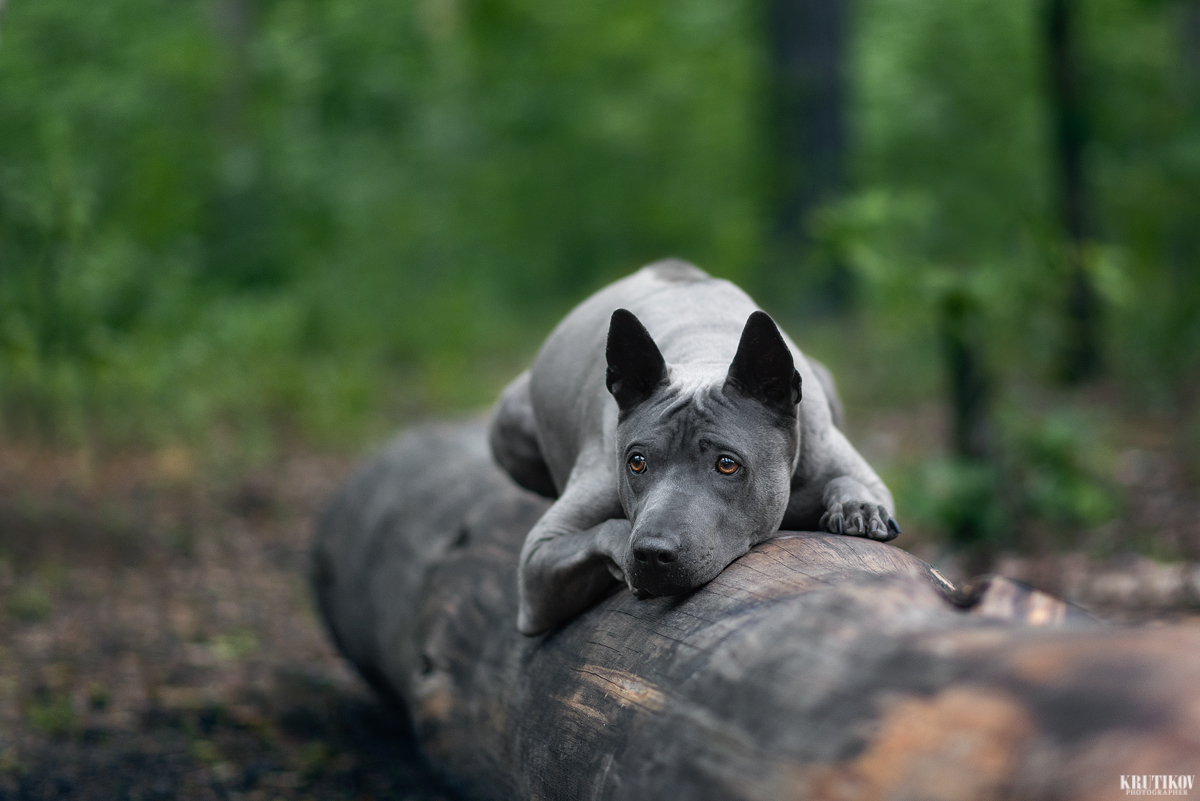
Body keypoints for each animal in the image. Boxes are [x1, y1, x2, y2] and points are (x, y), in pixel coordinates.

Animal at [489, 260, 902, 633]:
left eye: (727, 464)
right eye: (636, 462)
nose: (651, 554)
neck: (705, 354)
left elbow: (850, 481)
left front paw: (858, 507)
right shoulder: (537, 564)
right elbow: (607, 529)